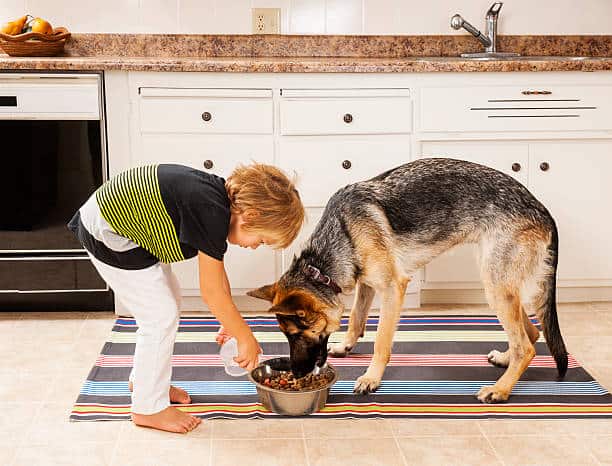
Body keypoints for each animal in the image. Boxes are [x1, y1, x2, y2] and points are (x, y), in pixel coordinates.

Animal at [249, 158, 568, 402]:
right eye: (286, 335)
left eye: (296, 334)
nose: (297, 374)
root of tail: (542, 209)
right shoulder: (366, 283)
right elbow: (355, 319)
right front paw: (346, 346)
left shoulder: (392, 288)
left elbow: (381, 341)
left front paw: (371, 378)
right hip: (499, 286)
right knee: (531, 332)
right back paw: (504, 360)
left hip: (496, 286)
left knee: (526, 347)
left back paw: (500, 390)